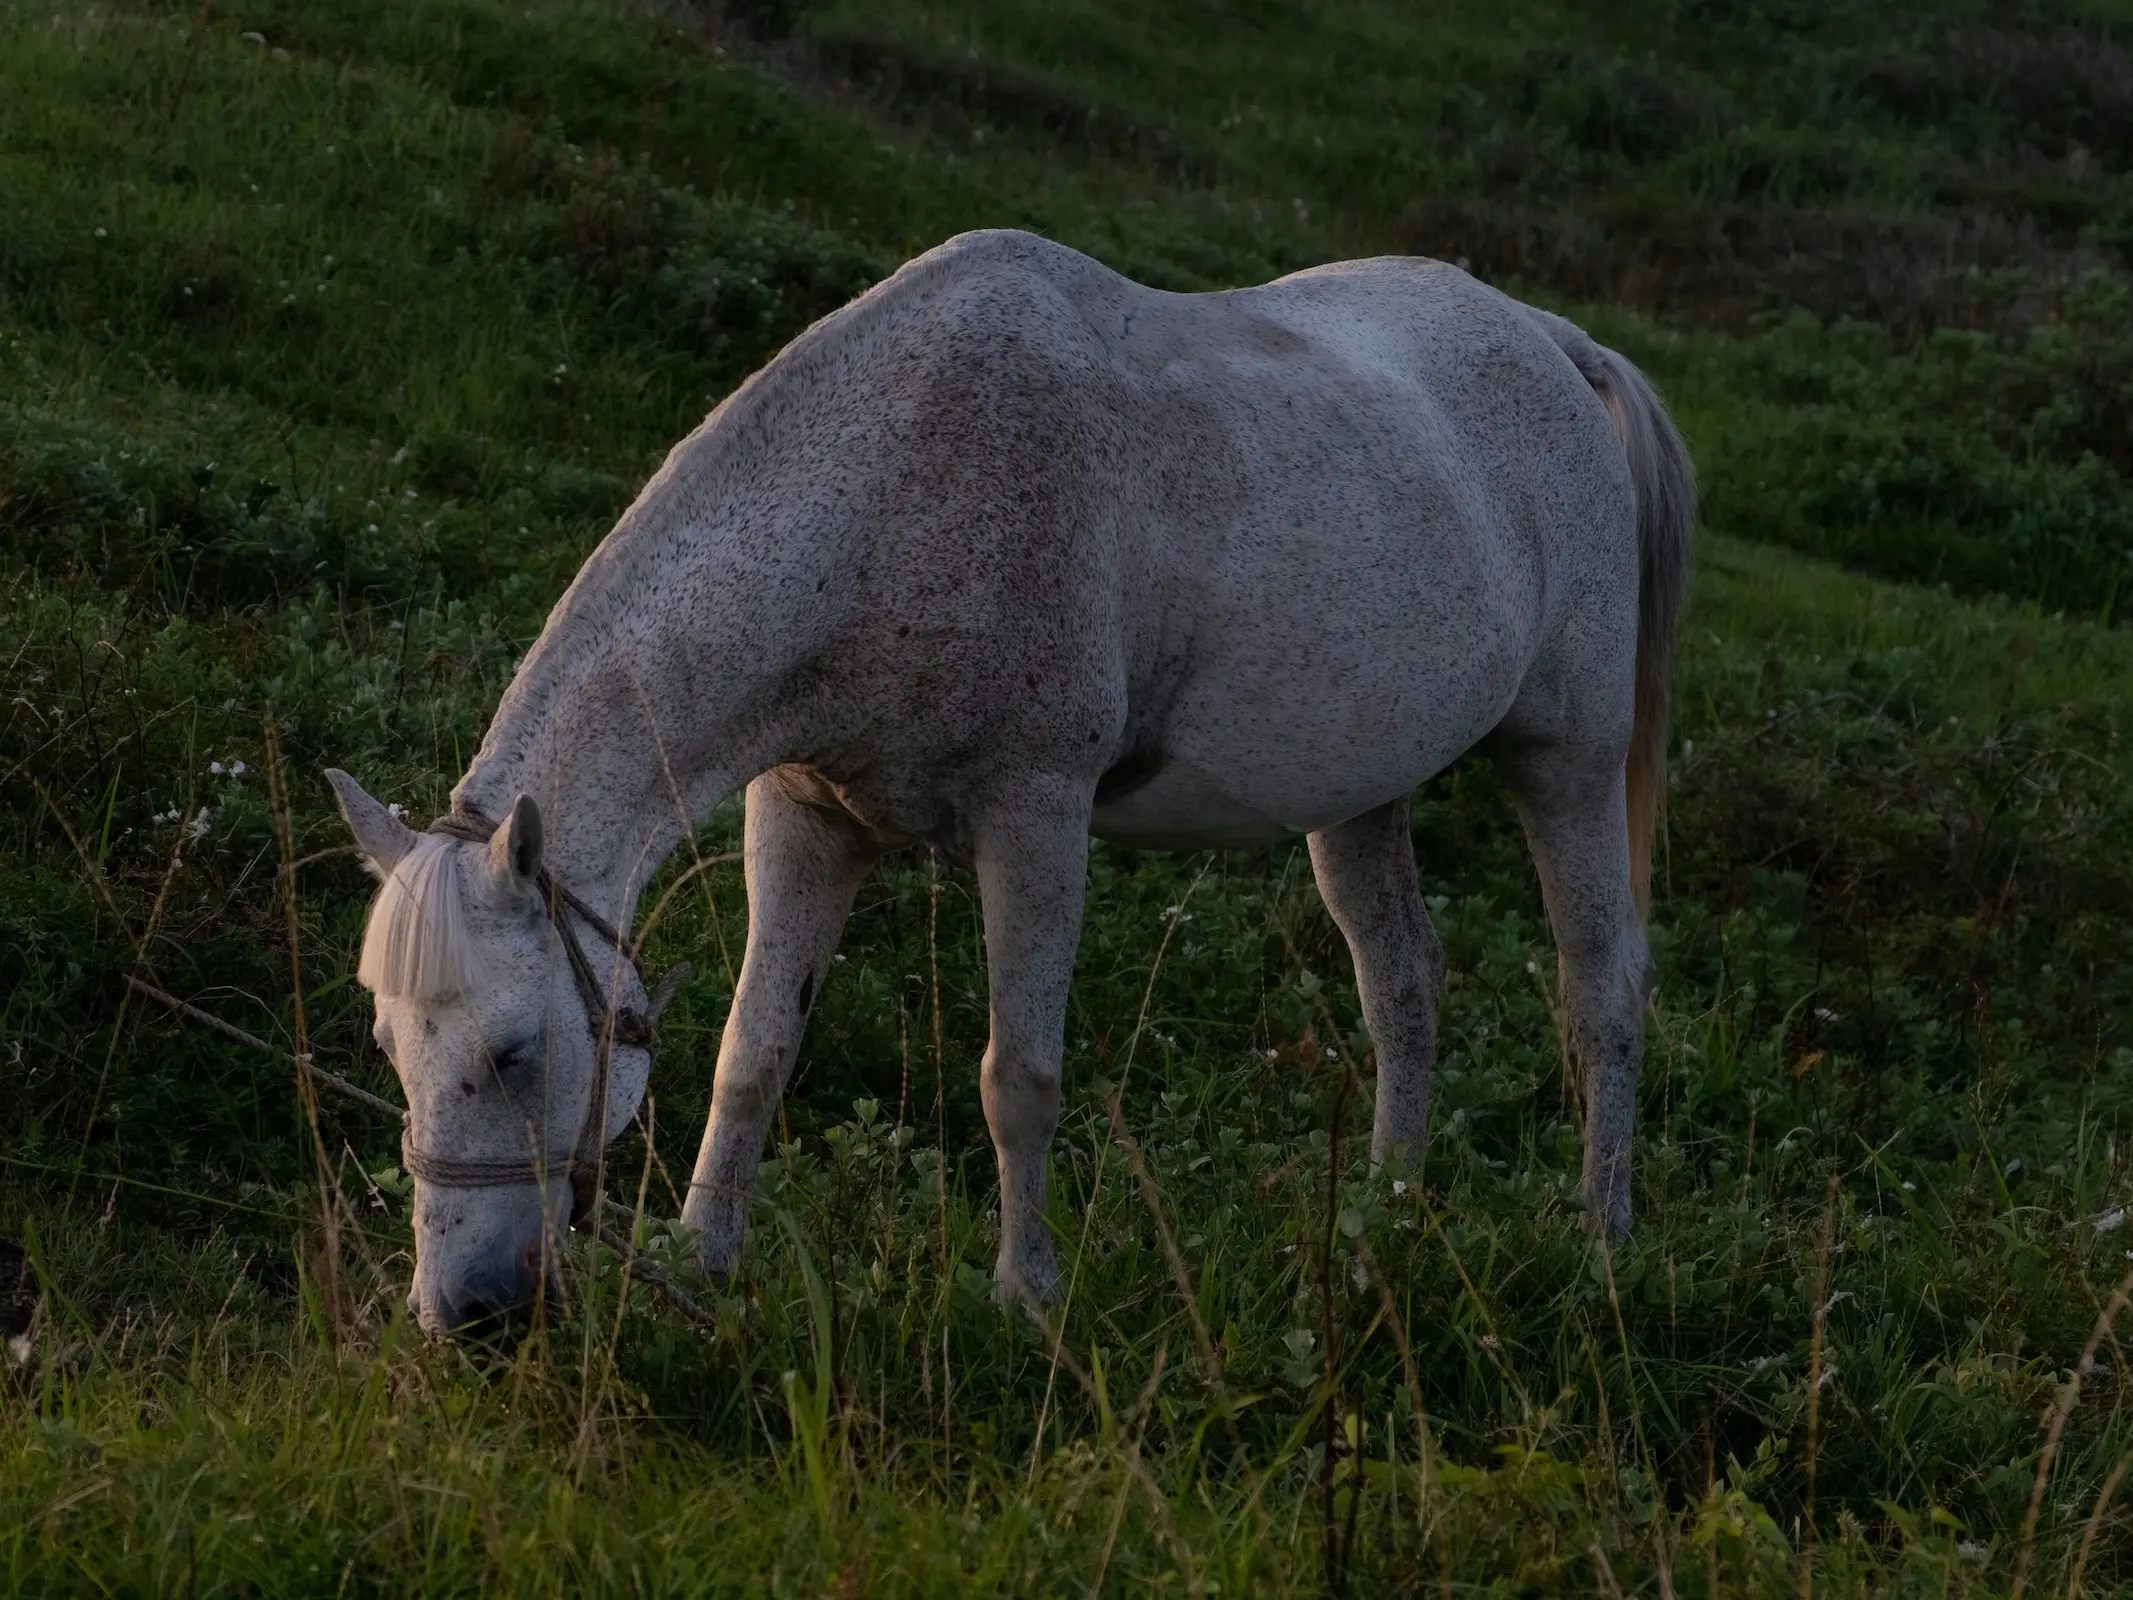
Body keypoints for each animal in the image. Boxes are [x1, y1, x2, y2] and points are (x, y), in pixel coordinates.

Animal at [328, 222, 1680, 1331]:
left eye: (513, 1051)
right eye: (389, 1045)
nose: (462, 1313)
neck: (891, 493)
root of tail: (1558, 346)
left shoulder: (1035, 817)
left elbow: (1015, 1078)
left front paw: (1026, 1295)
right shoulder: (804, 816)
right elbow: (752, 1052)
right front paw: (703, 1258)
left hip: (1567, 761)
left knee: (1600, 988)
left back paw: (1602, 1239)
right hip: (1357, 794)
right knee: (1404, 989)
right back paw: (1381, 1222)